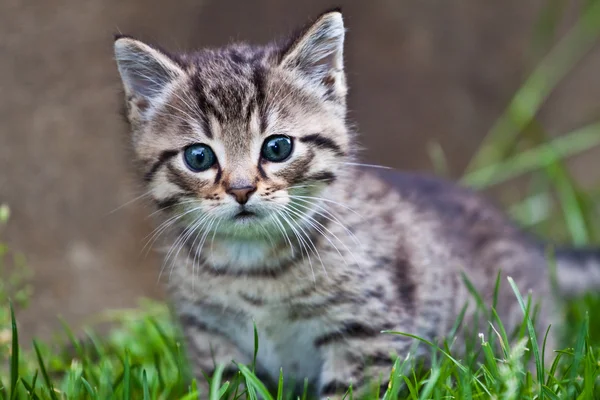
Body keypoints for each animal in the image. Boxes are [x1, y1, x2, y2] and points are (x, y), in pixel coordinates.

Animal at [112, 7, 600, 398]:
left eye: (277, 148)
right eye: (199, 157)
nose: (241, 189)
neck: (253, 268)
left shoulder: (368, 335)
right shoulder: (211, 342)